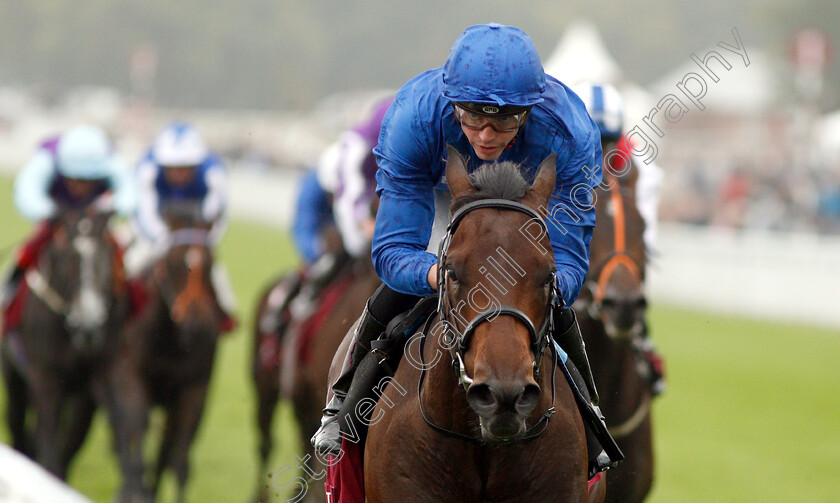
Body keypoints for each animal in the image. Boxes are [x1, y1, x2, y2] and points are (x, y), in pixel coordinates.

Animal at [0, 210, 144, 500]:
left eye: (104, 261)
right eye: (68, 261)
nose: (89, 323)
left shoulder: (108, 367)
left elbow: (123, 421)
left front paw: (134, 490)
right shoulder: (45, 378)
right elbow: (47, 439)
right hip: (16, 381)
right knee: (19, 427)